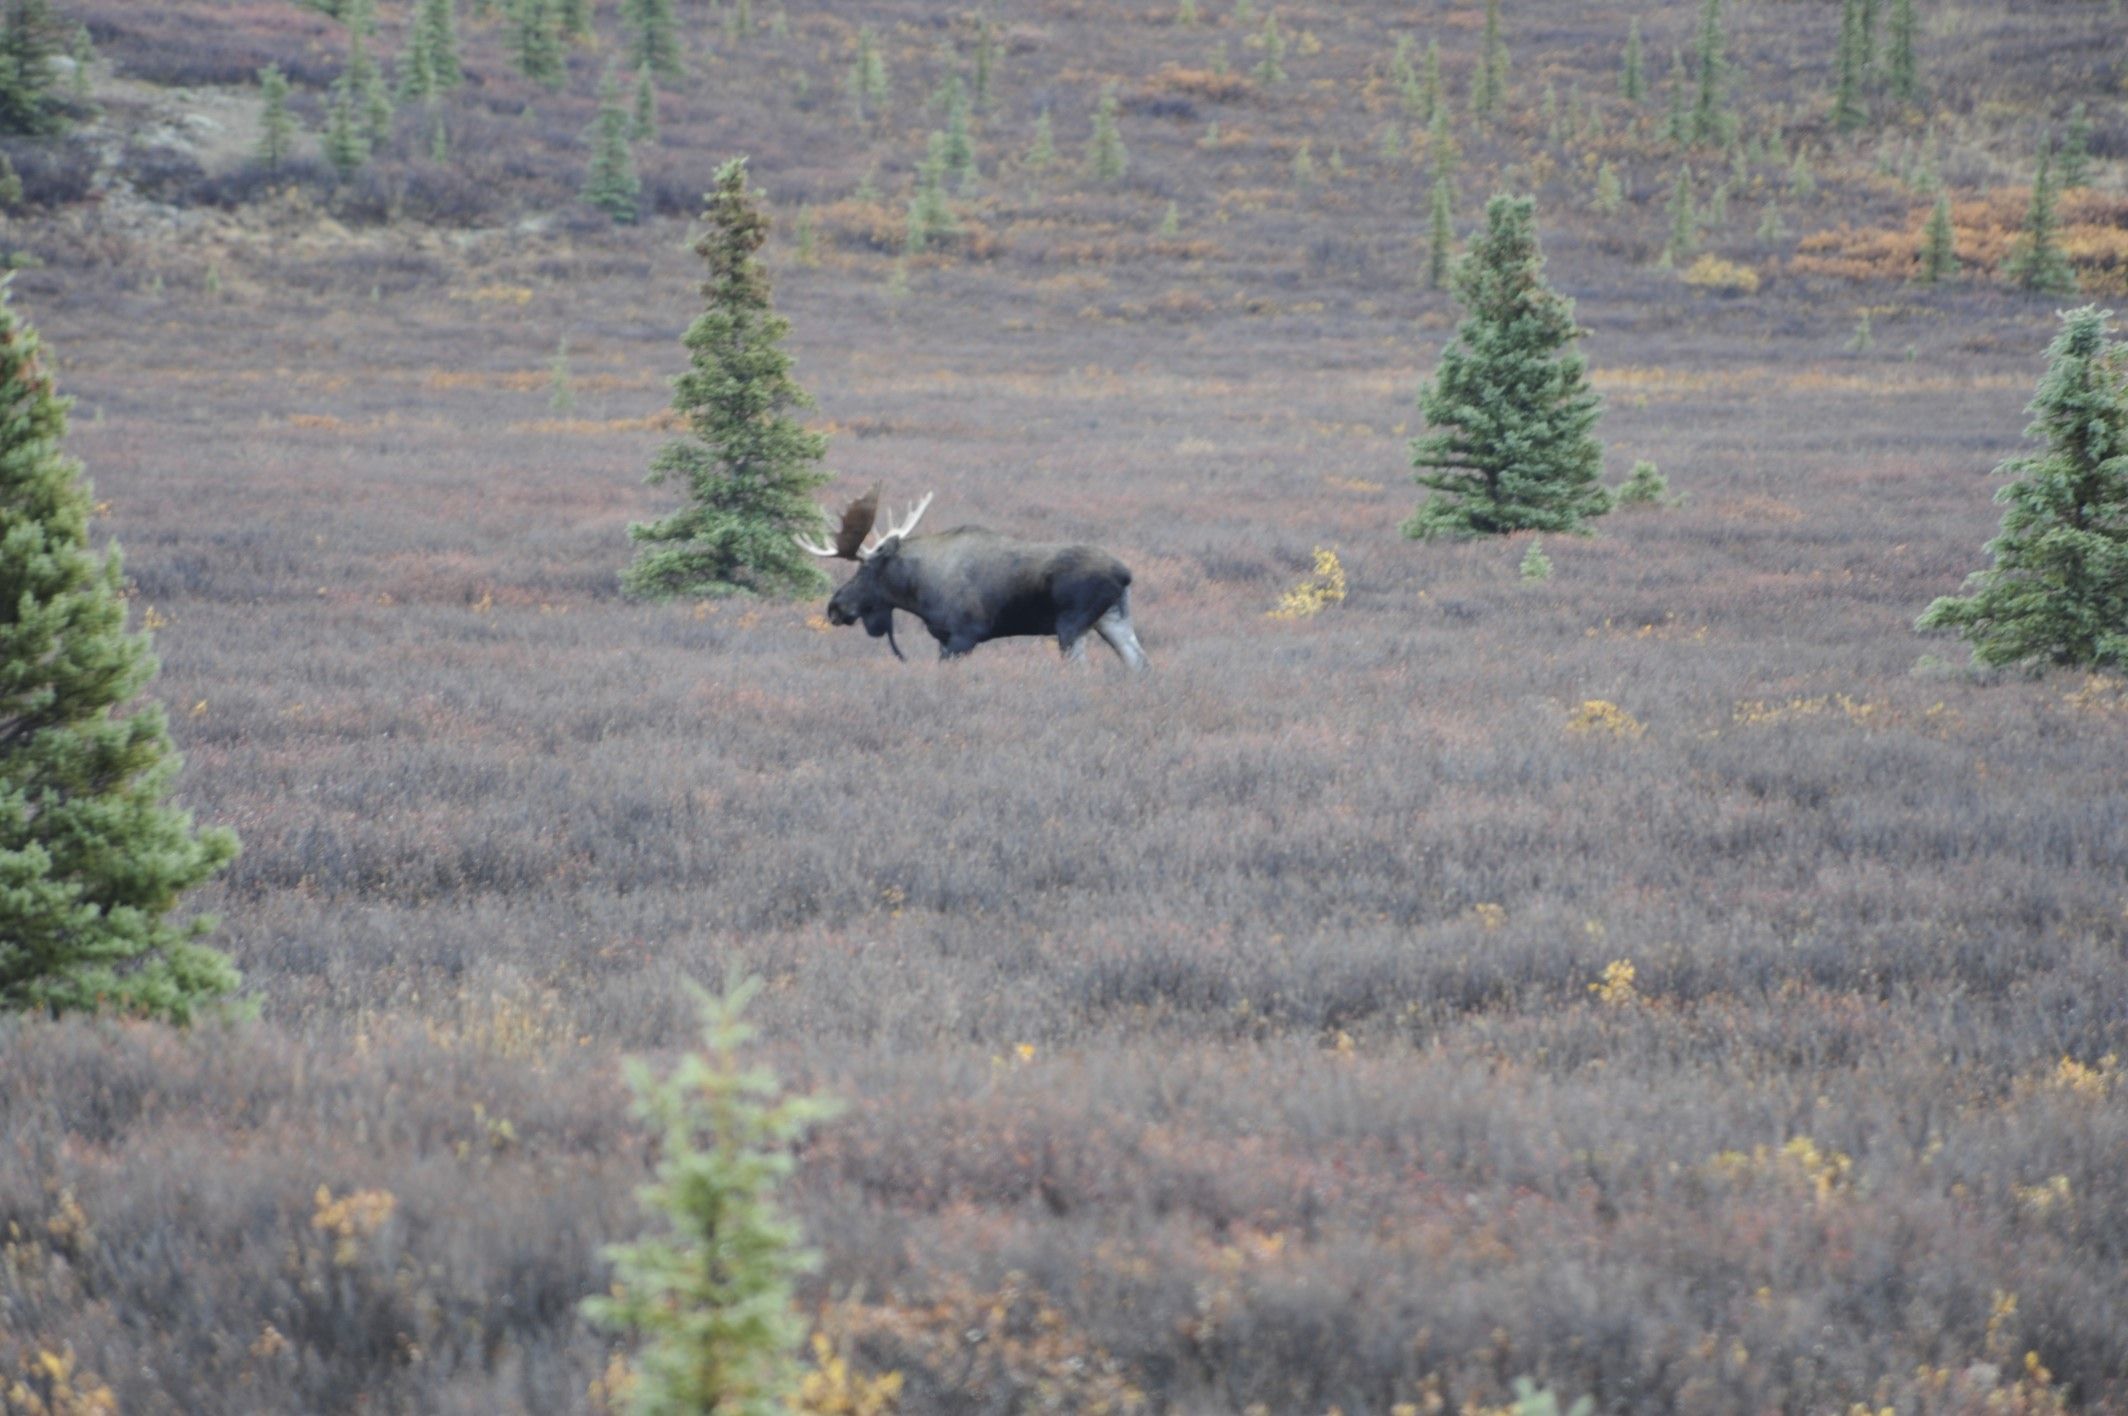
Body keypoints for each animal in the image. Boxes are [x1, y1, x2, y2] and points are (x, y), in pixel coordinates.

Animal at [795, 485, 1149, 668]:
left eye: (863, 570)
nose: (834, 606)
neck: (917, 590)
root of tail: (1125, 574)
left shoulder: (963, 636)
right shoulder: (945, 639)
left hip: (1071, 625)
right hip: (1113, 619)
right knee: (1139, 662)